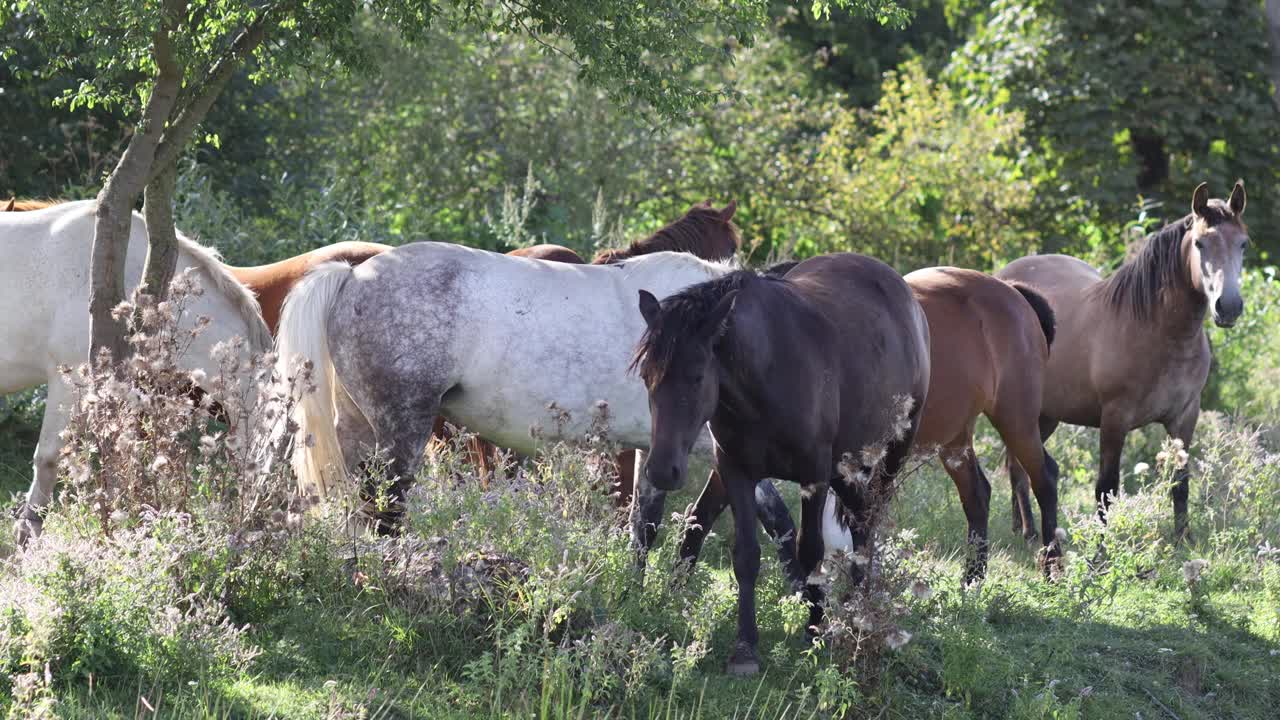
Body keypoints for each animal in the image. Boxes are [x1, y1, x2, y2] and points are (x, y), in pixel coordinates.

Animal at [275, 240, 737, 527]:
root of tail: (352, 277)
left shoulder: (656, 452)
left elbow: (648, 524)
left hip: (361, 429)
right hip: (402, 431)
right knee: (386, 508)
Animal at [998, 181, 1249, 535]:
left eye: (1243, 244)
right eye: (1200, 243)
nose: (1228, 307)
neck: (1160, 334)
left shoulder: (1185, 417)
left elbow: (1180, 483)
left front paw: (1182, 538)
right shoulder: (1114, 420)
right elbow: (1106, 489)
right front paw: (1104, 546)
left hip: (1046, 414)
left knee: (1016, 462)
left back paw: (1021, 527)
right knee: (1018, 465)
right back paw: (1030, 532)